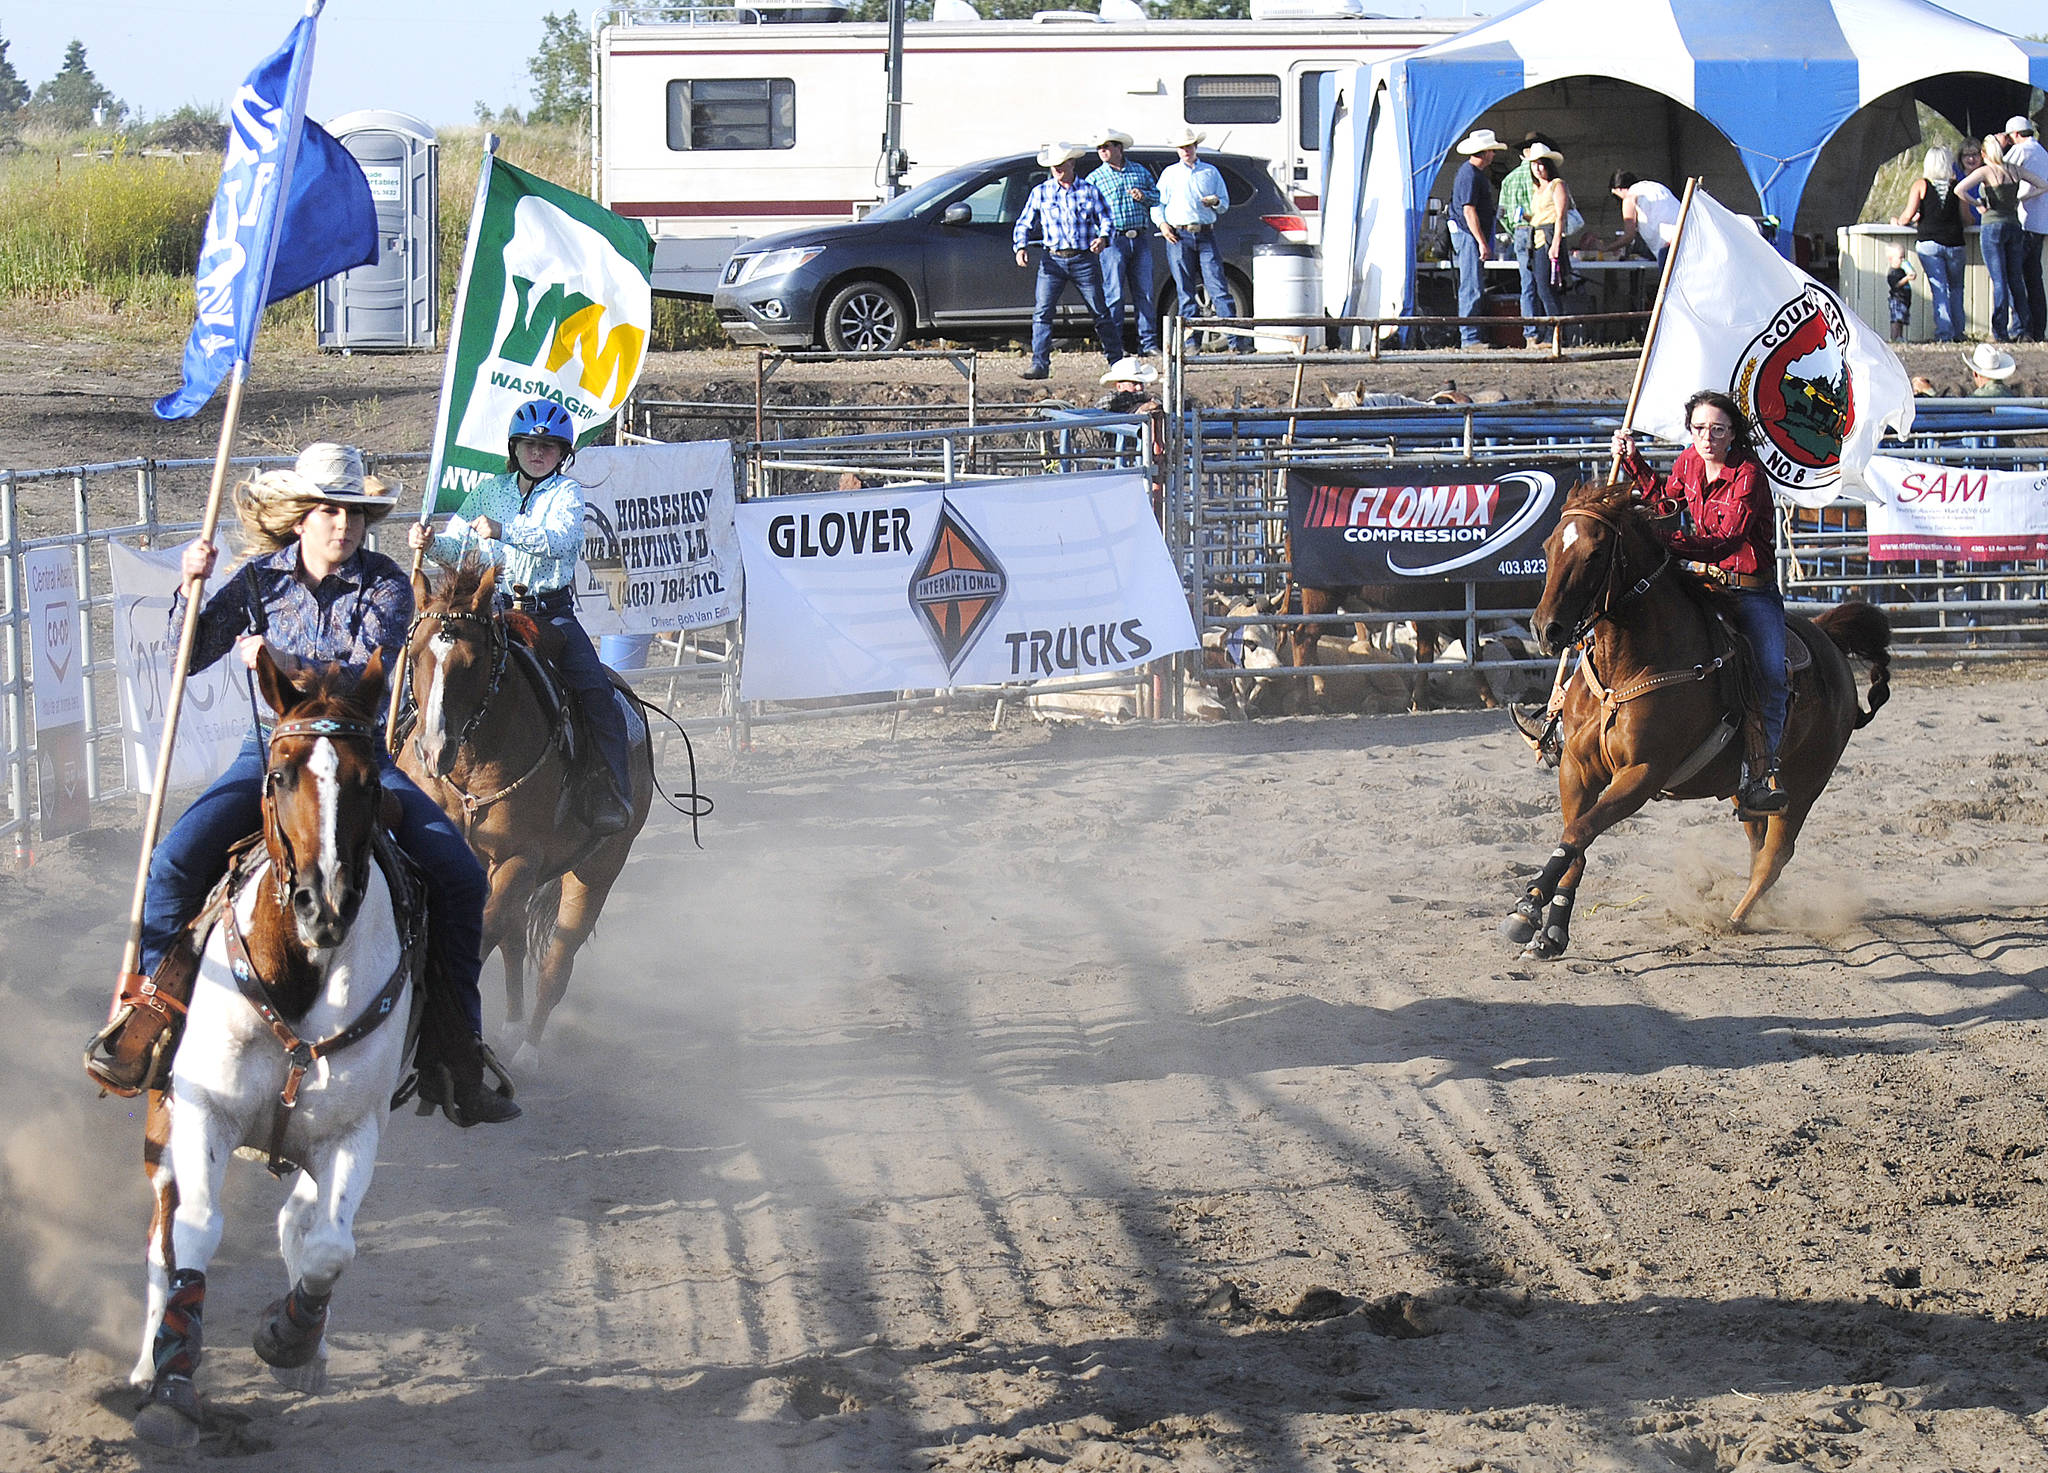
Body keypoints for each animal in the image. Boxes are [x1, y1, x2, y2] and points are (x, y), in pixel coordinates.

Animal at [131, 655, 419, 1450]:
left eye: (369, 781)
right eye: (282, 774)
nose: (325, 905)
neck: (299, 973)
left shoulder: (354, 1130)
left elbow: (329, 1247)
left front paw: (289, 1337)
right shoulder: (204, 1111)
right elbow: (194, 1232)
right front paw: (172, 1381)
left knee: (304, 1223)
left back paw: (308, 1349)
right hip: (165, 1121)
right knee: (161, 1237)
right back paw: (141, 1366)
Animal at [395, 565, 651, 1073]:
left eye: (473, 662)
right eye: (414, 656)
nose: (432, 750)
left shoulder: (519, 860)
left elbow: (483, 935)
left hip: (597, 868)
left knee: (555, 961)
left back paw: (529, 1048)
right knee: (514, 941)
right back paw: (512, 1025)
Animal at [1499, 477, 1892, 962]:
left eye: (1594, 552)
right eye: (1550, 546)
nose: (1545, 629)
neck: (1628, 665)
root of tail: (1830, 639)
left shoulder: (1644, 773)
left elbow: (1581, 831)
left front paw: (1527, 905)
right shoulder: (1577, 767)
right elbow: (1576, 838)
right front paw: (1550, 932)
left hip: (1805, 784)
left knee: (1776, 855)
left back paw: (1735, 918)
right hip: (1748, 792)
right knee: (1758, 841)